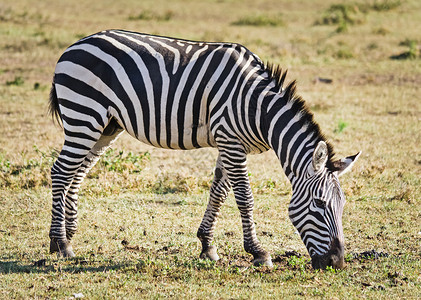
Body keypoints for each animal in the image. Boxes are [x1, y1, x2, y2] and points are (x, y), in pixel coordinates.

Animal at [47, 29, 360, 270]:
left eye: (342, 205)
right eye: (319, 204)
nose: (337, 263)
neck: (258, 108)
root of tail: (73, 46)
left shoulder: (228, 143)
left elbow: (218, 193)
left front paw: (207, 246)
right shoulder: (231, 141)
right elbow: (244, 197)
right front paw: (258, 252)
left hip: (105, 127)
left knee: (77, 173)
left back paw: (69, 236)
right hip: (84, 114)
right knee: (61, 172)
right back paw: (59, 242)